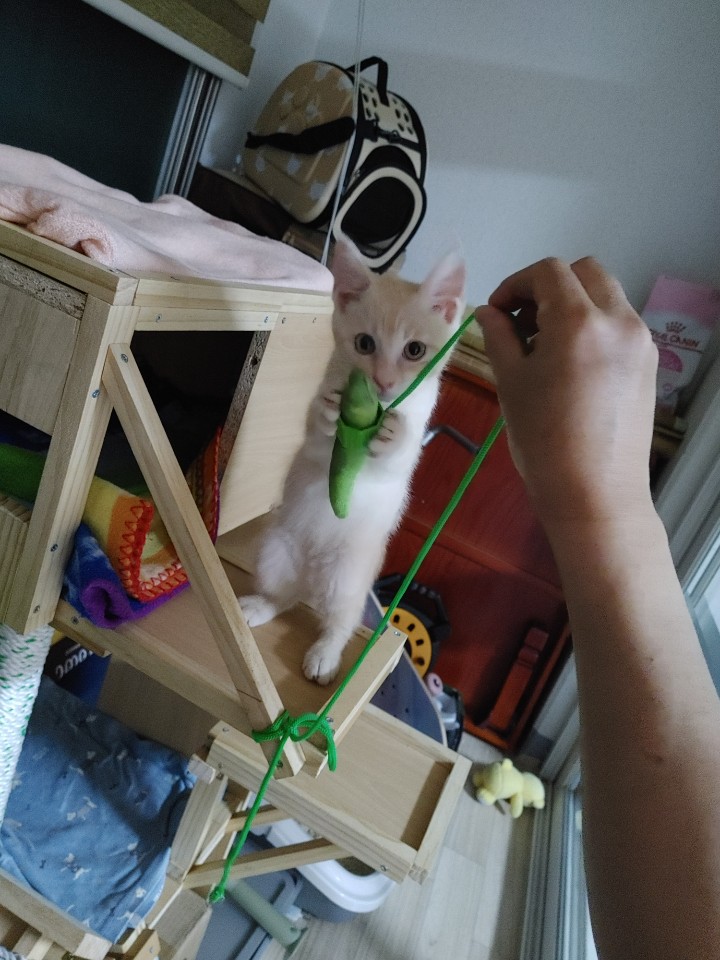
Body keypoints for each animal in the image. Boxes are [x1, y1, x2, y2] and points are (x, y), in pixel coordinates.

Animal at [239, 238, 466, 684]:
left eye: (415, 351)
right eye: (364, 344)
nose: (383, 382)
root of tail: (313, 575)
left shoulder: (413, 441)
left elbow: (398, 458)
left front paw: (394, 435)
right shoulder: (316, 435)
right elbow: (316, 436)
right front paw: (329, 413)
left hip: (346, 577)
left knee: (340, 622)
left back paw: (325, 655)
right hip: (275, 551)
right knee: (287, 595)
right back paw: (261, 605)